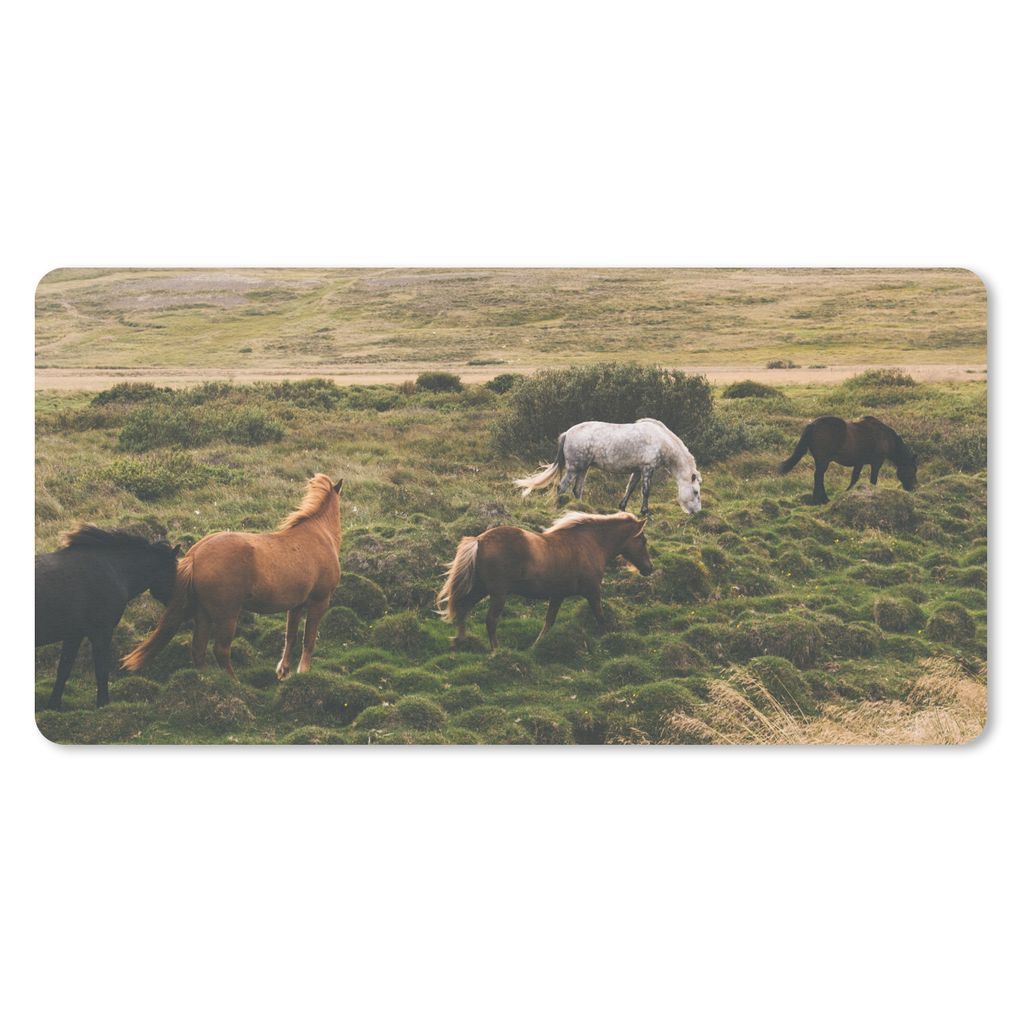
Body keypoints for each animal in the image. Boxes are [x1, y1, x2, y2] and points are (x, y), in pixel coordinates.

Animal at [35, 525, 181, 709]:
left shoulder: (74, 635)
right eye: (173, 572)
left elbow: (64, 669)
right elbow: (102, 669)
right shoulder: (101, 631)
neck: (113, 569)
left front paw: (53, 705)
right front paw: (103, 704)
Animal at [122, 475, 343, 682]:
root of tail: (195, 554)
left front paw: (283, 671)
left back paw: (207, 679)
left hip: (203, 614)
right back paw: (234, 682)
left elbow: (291, 637)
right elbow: (309, 639)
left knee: (198, 649)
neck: (318, 533)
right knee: (220, 650)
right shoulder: (319, 601)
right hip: (227, 615)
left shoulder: (296, 606)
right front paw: (303, 671)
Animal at [436, 510, 653, 652]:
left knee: (463, 608)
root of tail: (479, 541)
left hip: (480, 589)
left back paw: (460, 641)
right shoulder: (592, 591)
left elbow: (549, 622)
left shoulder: (558, 596)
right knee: (490, 620)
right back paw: (496, 650)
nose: (649, 568)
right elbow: (600, 616)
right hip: (498, 594)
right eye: (643, 540)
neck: (590, 543)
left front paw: (535, 646)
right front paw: (608, 639)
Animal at [514, 418, 702, 517]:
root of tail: (567, 433)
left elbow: (630, 488)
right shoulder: (647, 469)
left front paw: (622, 506)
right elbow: (645, 491)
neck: (660, 441)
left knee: (577, 490)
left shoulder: (637, 470)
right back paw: (560, 506)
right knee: (562, 487)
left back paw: (582, 510)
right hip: (575, 468)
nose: (696, 512)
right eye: (696, 492)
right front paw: (645, 511)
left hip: (584, 469)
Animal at [779, 415, 918, 505]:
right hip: (823, 460)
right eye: (914, 470)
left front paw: (848, 493)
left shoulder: (859, 463)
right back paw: (821, 499)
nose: (913, 488)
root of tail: (813, 424)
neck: (885, 438)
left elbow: (854, 478)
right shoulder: (876, 463)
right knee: (818, 476)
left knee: (818, 476)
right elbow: (873, 480)